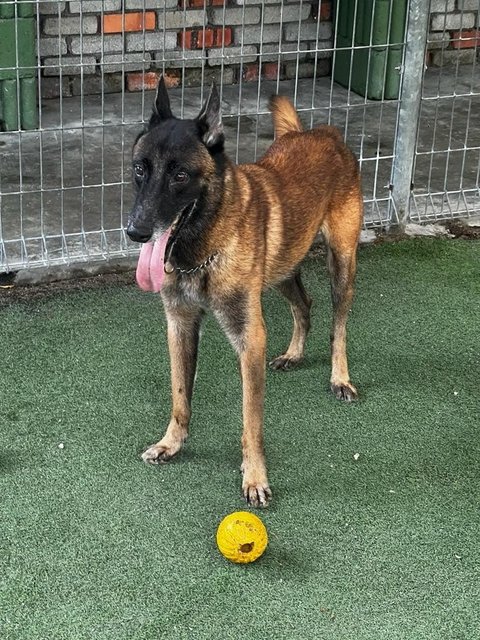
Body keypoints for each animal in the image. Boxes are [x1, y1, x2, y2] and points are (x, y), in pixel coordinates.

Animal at [125, 76, 362, 504]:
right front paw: (172, 443)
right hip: (284, 266)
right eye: (140, 169)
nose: (136, 231)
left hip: (341, 263)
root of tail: (322, 133)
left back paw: (340, 378)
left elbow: (251, 420)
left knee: (338, 325)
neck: (203, 246)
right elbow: (180, 395)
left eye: (180, 176)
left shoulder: (249, 338)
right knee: (304, 304)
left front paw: (254, 476)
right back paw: (294, 354)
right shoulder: (180, 327)